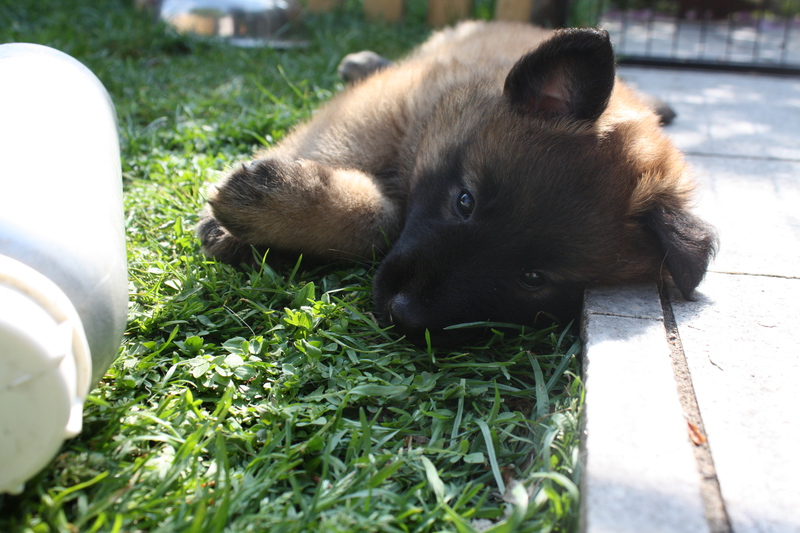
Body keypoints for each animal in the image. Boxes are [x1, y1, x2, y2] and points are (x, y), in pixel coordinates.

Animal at [198, 21, 717, 346]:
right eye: (464, 201)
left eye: (533, 279)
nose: (402, 311)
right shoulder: (382, 110)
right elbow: (360, 187)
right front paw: (256, 215)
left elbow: (386, 221)